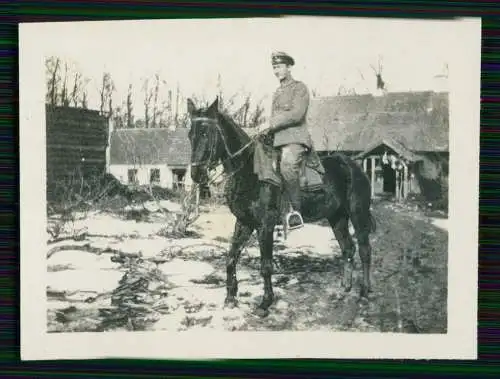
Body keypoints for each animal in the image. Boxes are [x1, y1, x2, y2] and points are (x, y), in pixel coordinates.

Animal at [187, 98, 376, 318]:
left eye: (206, 133)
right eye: (190, 134)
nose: (196, 174)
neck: (250, 172)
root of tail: (354, 167)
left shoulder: (265, 225)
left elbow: (266, 266)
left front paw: (265, 303)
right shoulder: (244, 222)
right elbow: (231, 258)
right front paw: (230, 298)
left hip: (358, 214)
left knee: (364, 250)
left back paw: (364, 292)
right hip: (337, 218)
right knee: (347, 248)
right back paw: (344, 288)